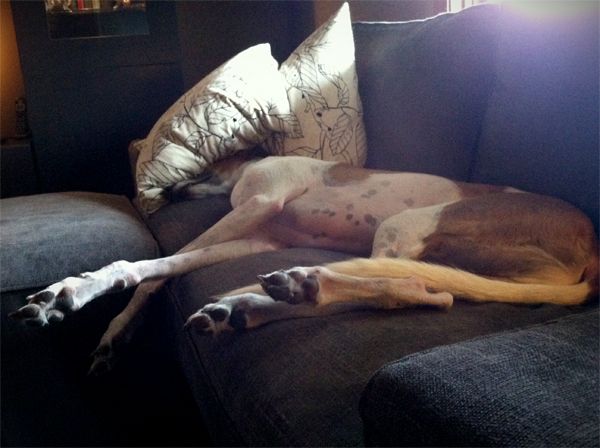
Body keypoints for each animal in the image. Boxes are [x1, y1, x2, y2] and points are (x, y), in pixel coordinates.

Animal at [10, 156, 600, 372]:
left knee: (412, 287)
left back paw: (287, 288)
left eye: (204, 165)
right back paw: (252, 305)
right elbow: (168, 268)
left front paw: (75, 290)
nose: (166, 193)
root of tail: (592, 242)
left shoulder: (260, 203)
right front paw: (117, 327)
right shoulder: (259, 236)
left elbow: (153, 263)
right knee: (422, 291)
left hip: (405, 228)